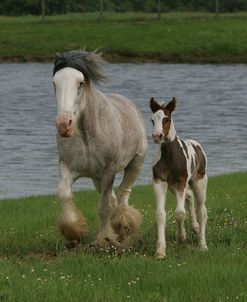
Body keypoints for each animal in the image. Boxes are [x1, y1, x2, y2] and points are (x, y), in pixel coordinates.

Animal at [52, 49, 147, 248]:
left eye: (80, 83)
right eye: (55, 83)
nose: (64, 124)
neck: (87, 137)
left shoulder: (109, 171)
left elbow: (104, 206)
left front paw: (103, 239)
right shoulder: (67, 167)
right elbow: (64, 194)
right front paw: (75, 232)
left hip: (136, 163)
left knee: (123, 194)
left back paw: (123, 227)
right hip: (96, 178)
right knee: (114, 197)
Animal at [150, 97, 207, 260]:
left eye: (166, 119)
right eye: (152, 120)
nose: (157, 136)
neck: (169, 156)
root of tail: (197, 144)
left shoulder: (181, 182)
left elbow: (180, 213)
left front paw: (181, 237)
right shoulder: (160, 182)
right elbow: (160, 214)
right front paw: (160, 251)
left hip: (199, 182)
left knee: (202, 211)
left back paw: (203, 245)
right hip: (173, 186)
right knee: (190, 196)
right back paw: (195, 227)